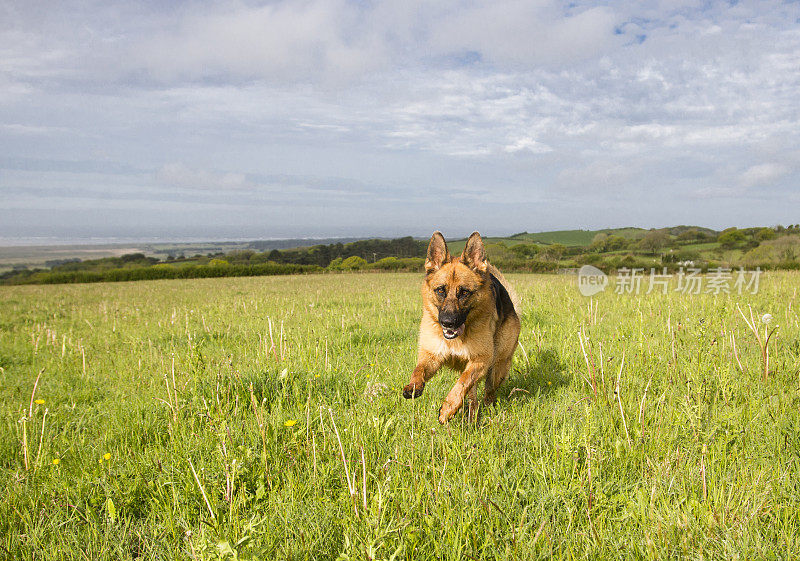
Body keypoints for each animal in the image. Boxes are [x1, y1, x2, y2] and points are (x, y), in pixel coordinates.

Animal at [404, 230, 520, 422]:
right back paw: (471, 417)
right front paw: (413, 386)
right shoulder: (432, 356)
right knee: (473, 397)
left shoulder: (480, 360)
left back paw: (484, 412)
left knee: (488, 393)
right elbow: (418, 369)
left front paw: (448, 409)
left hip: (497, 367)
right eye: (440, 290)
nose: (448, 322)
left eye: (464, 292)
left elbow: (463, 382)